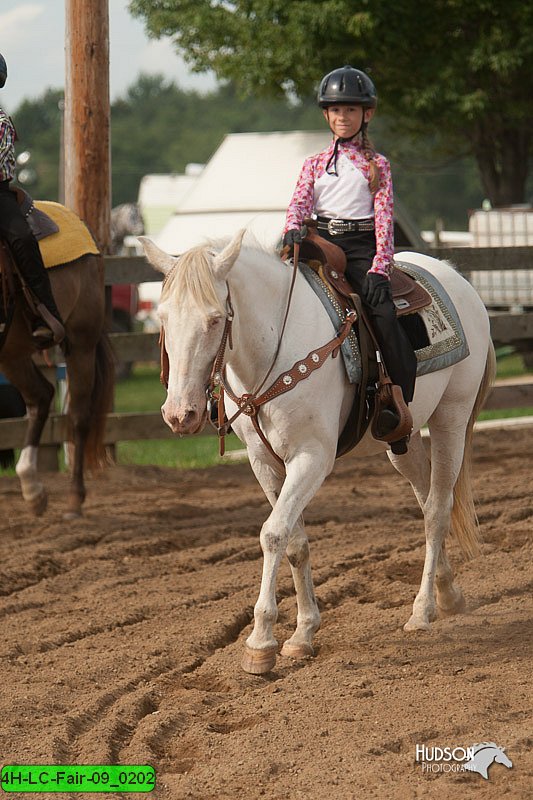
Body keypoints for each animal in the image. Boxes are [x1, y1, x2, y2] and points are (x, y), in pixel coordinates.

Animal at [0, 206, 114, 520]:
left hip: (82, 344)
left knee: (79, 416)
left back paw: (74, 500)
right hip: (12, 354)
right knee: (41, 396)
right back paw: (32, 490)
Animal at [139, 233, 492, 676]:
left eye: (216, 319)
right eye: (164, 317)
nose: (180, 414)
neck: (274, 350)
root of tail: (457, 277)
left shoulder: (311, 459)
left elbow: (273, 533)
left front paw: (260, 643)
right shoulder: (264, 463)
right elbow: (294, 541)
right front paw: (302, 633)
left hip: (451, 418)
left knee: (439, 510)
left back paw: (422, 610)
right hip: (403, 440)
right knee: (427, 499)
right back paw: (447, 593)